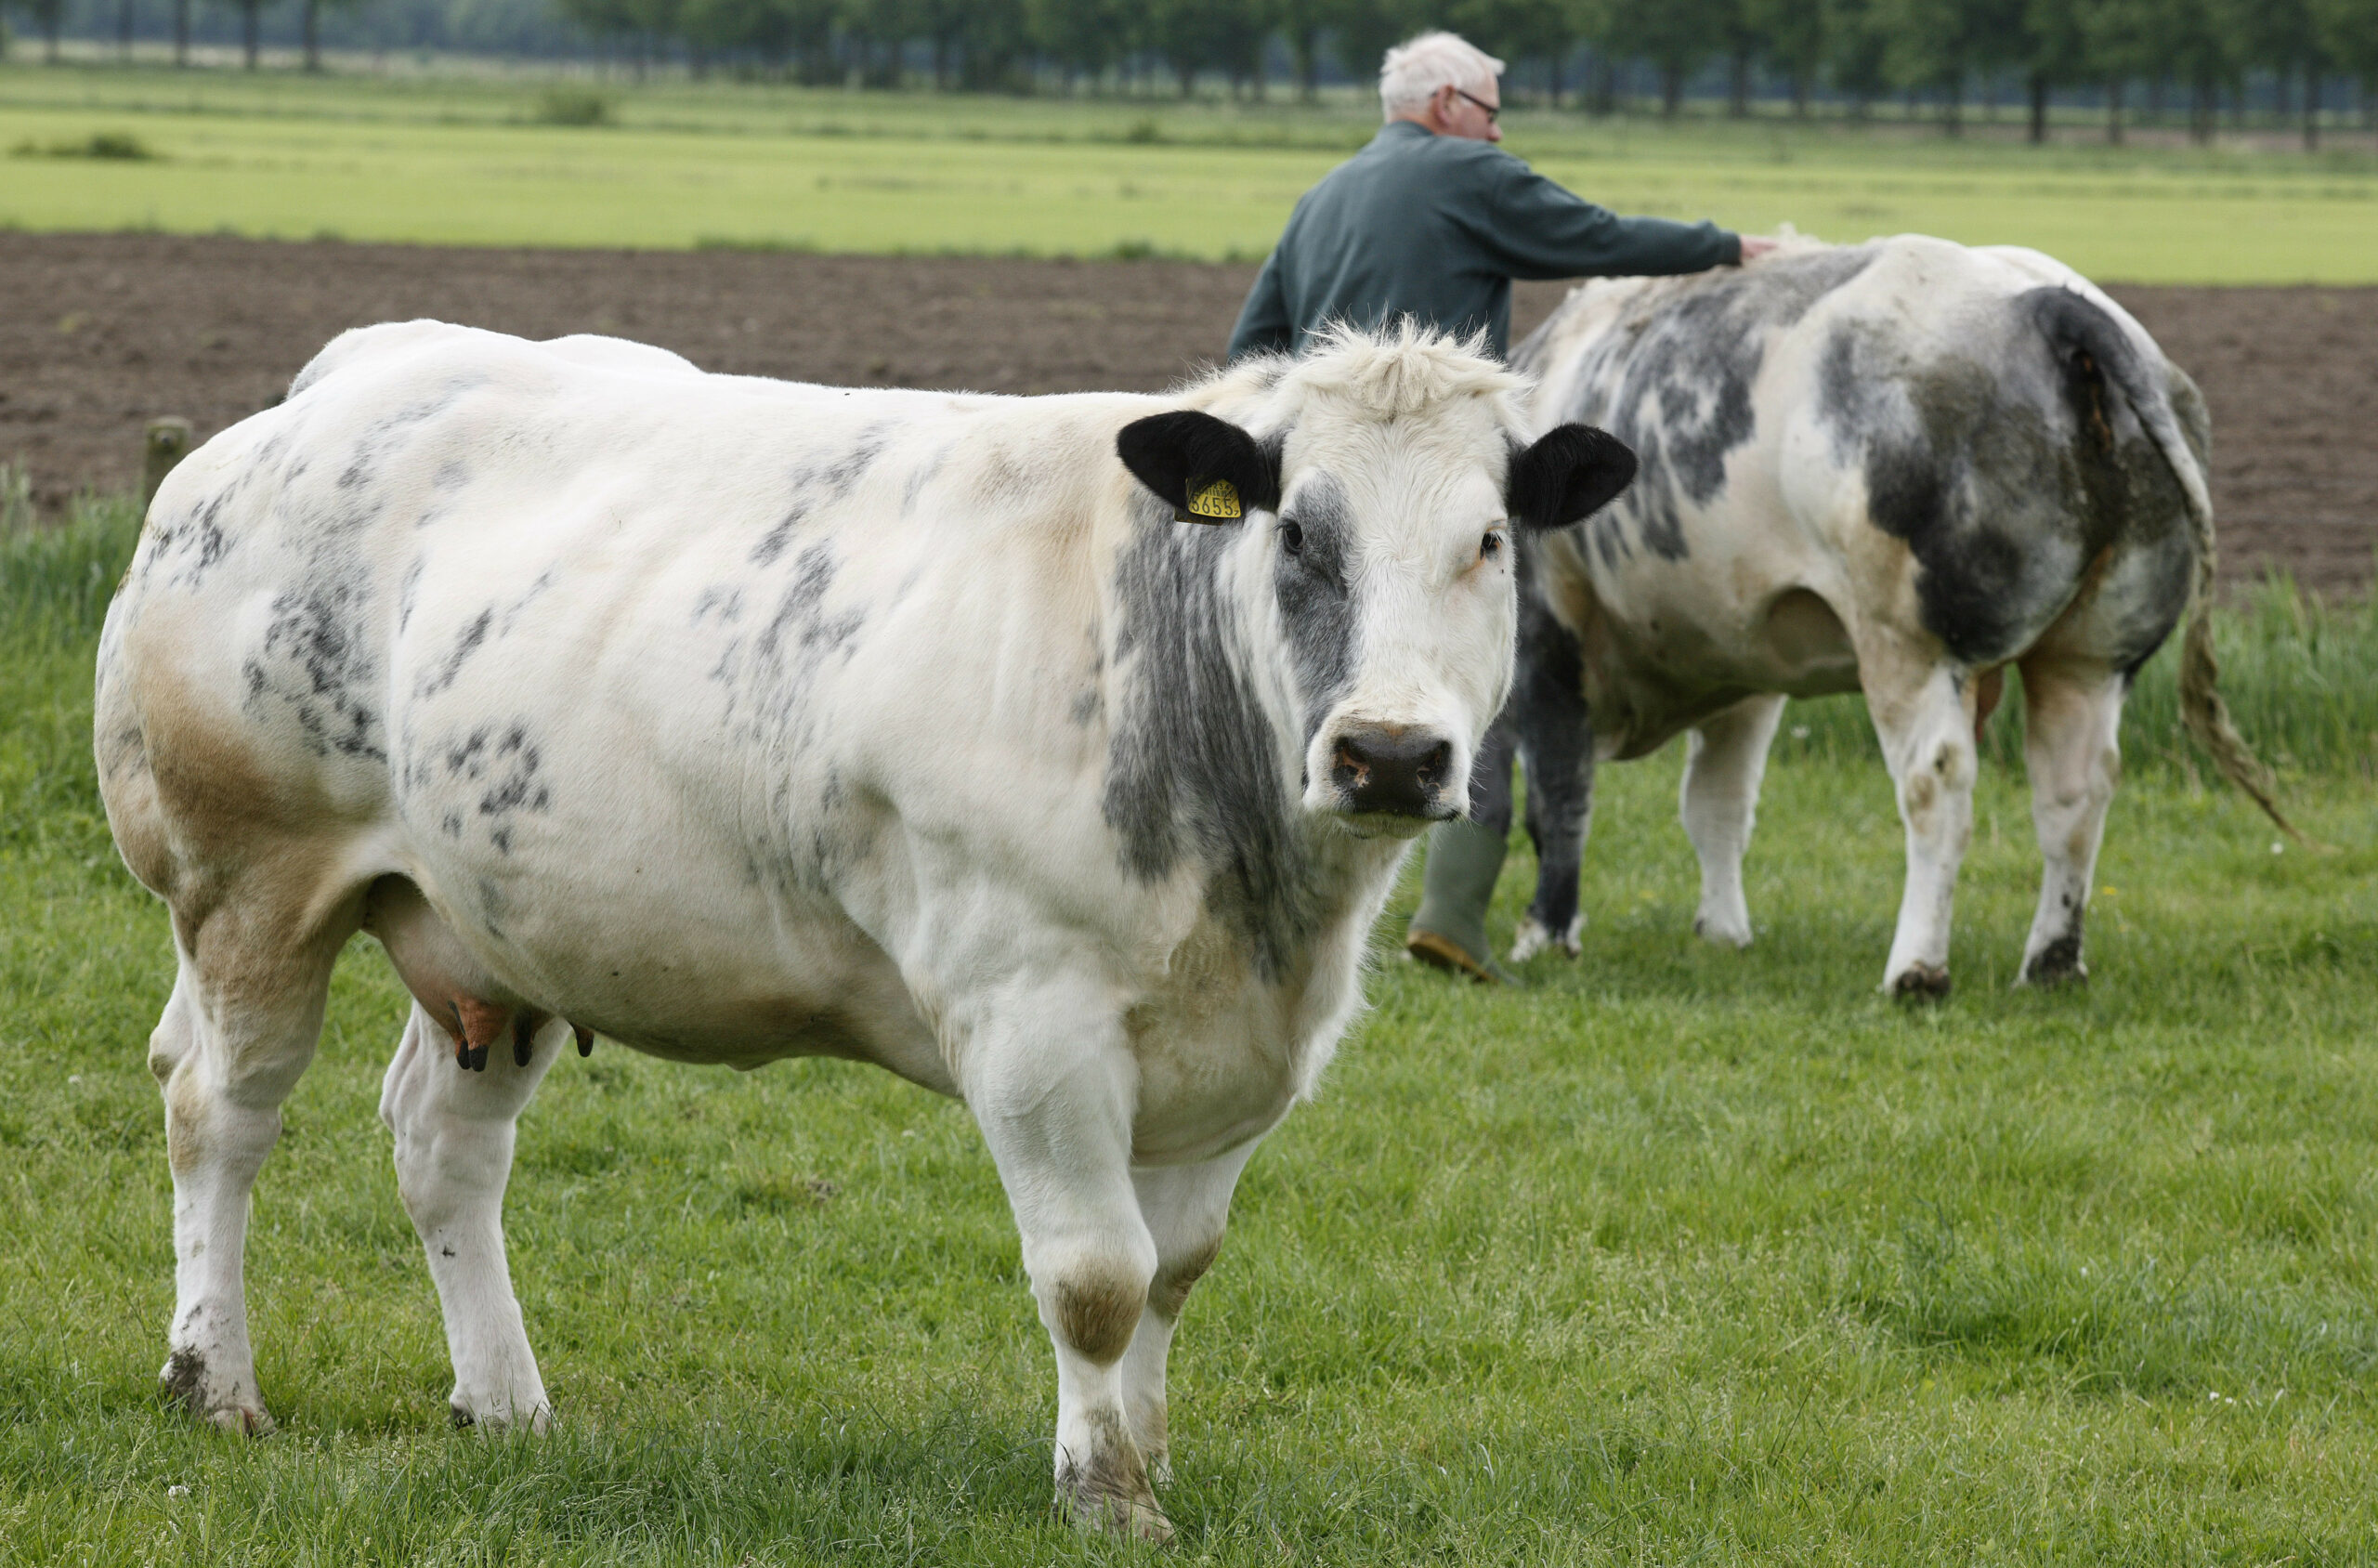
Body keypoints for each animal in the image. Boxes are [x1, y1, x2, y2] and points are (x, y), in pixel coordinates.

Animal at [102, 320, 1645, 1541]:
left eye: (1488, 541)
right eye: (1300, 533)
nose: (1390, 755)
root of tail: (349, 378)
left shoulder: (1243, 1054)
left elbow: (1173, 1273)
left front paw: (1145, 1459)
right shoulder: (1031, 1019)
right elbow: (1096, 1278)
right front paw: (1103, 1493)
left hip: (495, 924)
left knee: (443, 1146)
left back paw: (505, 1401)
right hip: (250, 880)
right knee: (217, 1110)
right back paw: (214, 1380)